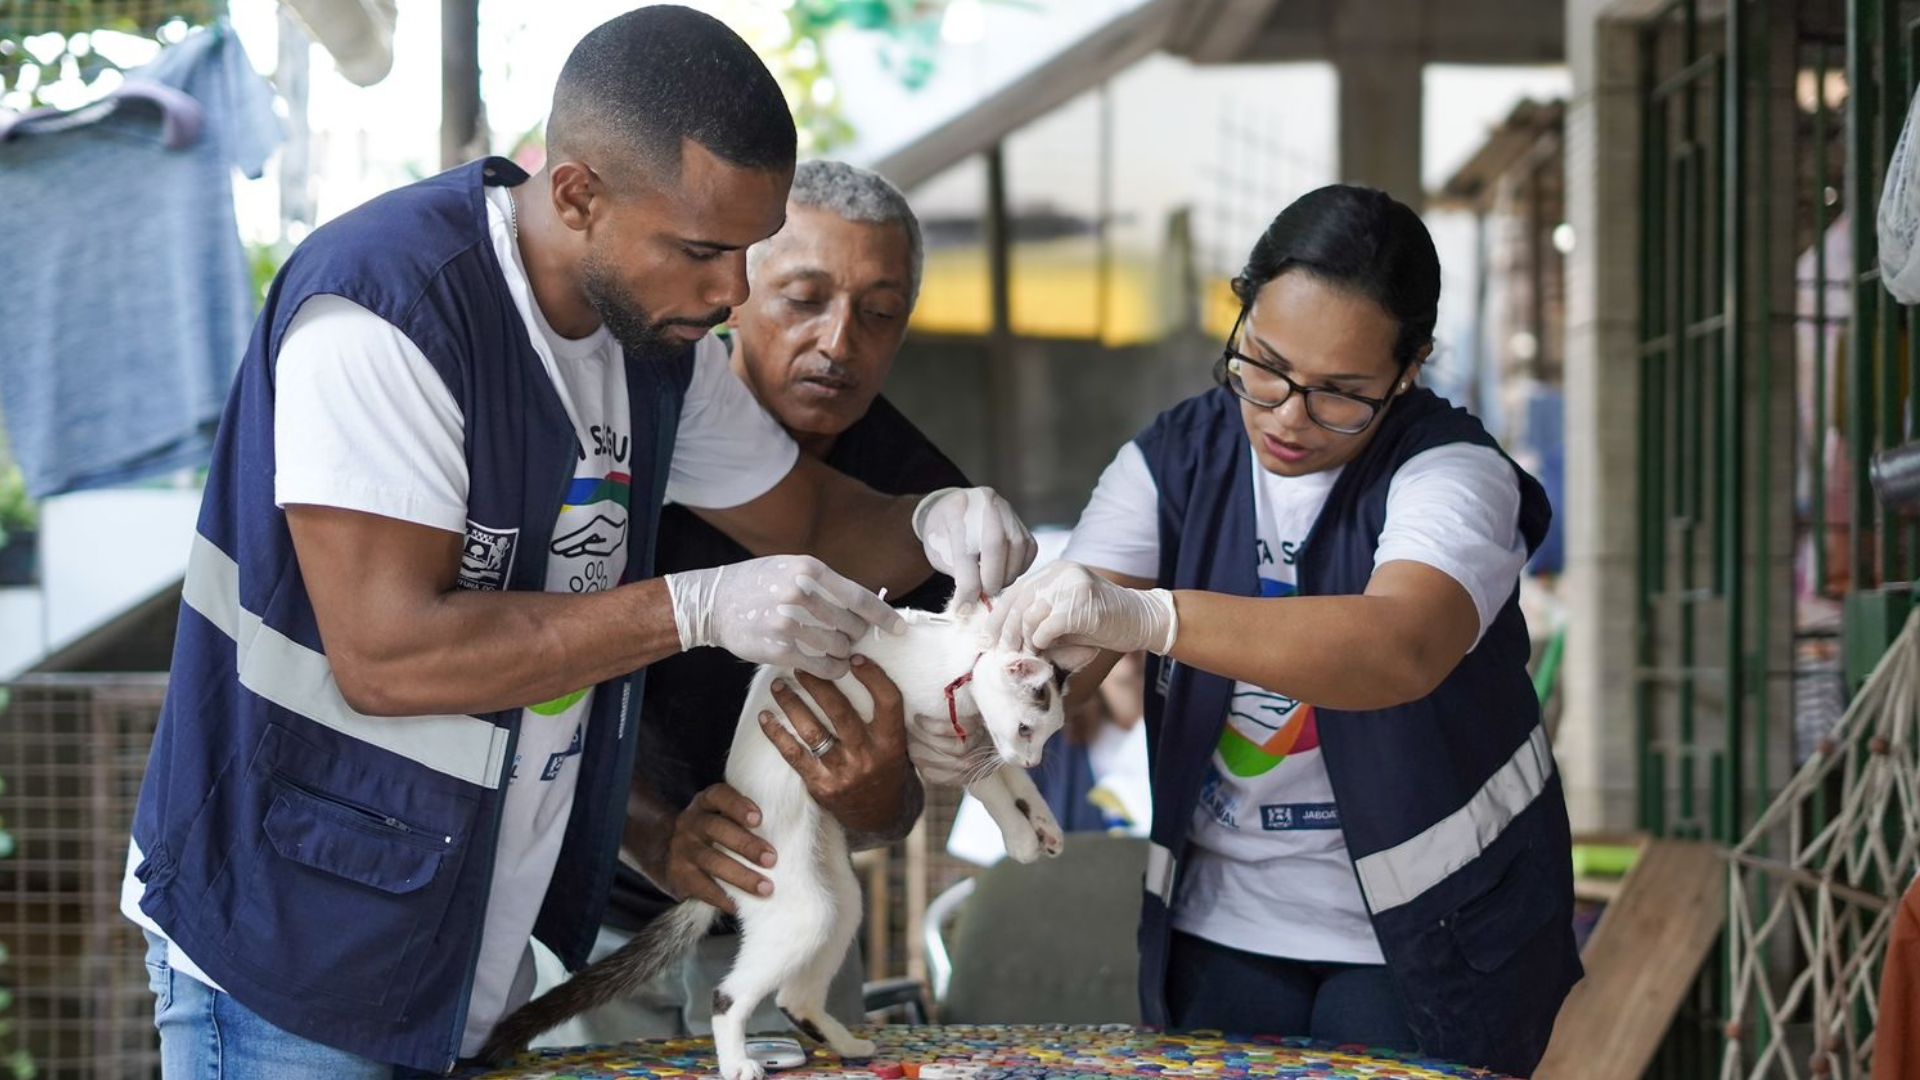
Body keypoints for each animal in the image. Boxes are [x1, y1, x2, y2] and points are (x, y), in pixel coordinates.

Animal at [474, 595, 1075, 1068]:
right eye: (1028, 727)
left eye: (1047, 736)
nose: (1035, 753)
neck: (962, 655)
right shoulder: (933, 733)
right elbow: (992, 785)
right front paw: (1022, 839)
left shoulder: (973, 739)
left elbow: (1012, 781)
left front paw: (1044, 825)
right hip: (800, 912)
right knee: (727, 998)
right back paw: (739, 1063)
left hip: (840, 903)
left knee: (794, 997)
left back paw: (847, 1046)